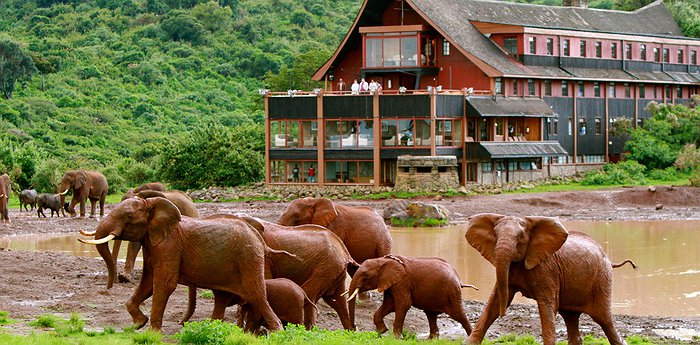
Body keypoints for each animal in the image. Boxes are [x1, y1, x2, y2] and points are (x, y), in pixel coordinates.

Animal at [78, 196, 282, 330]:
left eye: (128, 217)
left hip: (249, 259)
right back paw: (212, 327)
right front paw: (139, 324)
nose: (109, 287)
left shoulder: (168, 247)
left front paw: (152, 333)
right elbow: (148, 283)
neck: (152, 205)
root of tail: (258, 236)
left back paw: (277, 331)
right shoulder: (153, 244)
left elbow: (163, 284)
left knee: (257, 296)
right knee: (222, 297)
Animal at [346, 254, 474, 338]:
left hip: (452, 293)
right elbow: (389, 305)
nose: (354, 329)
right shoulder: (391, 283)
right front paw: (382, 331)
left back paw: (470, 338)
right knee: (431, 315)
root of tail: (458, 278)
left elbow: (403, 305)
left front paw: (396, 338)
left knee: (459, 315)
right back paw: (431, 340)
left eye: (365, 275)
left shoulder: (402, 282)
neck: (383, 260)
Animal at [464, 212, 636, 344]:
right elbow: (494, 302)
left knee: (604, 320)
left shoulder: (547, 270)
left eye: (521, 236)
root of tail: (609, 259)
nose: (503, 315)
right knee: (571, 318)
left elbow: (547, 306)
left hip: (602, 279)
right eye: (494, 235)